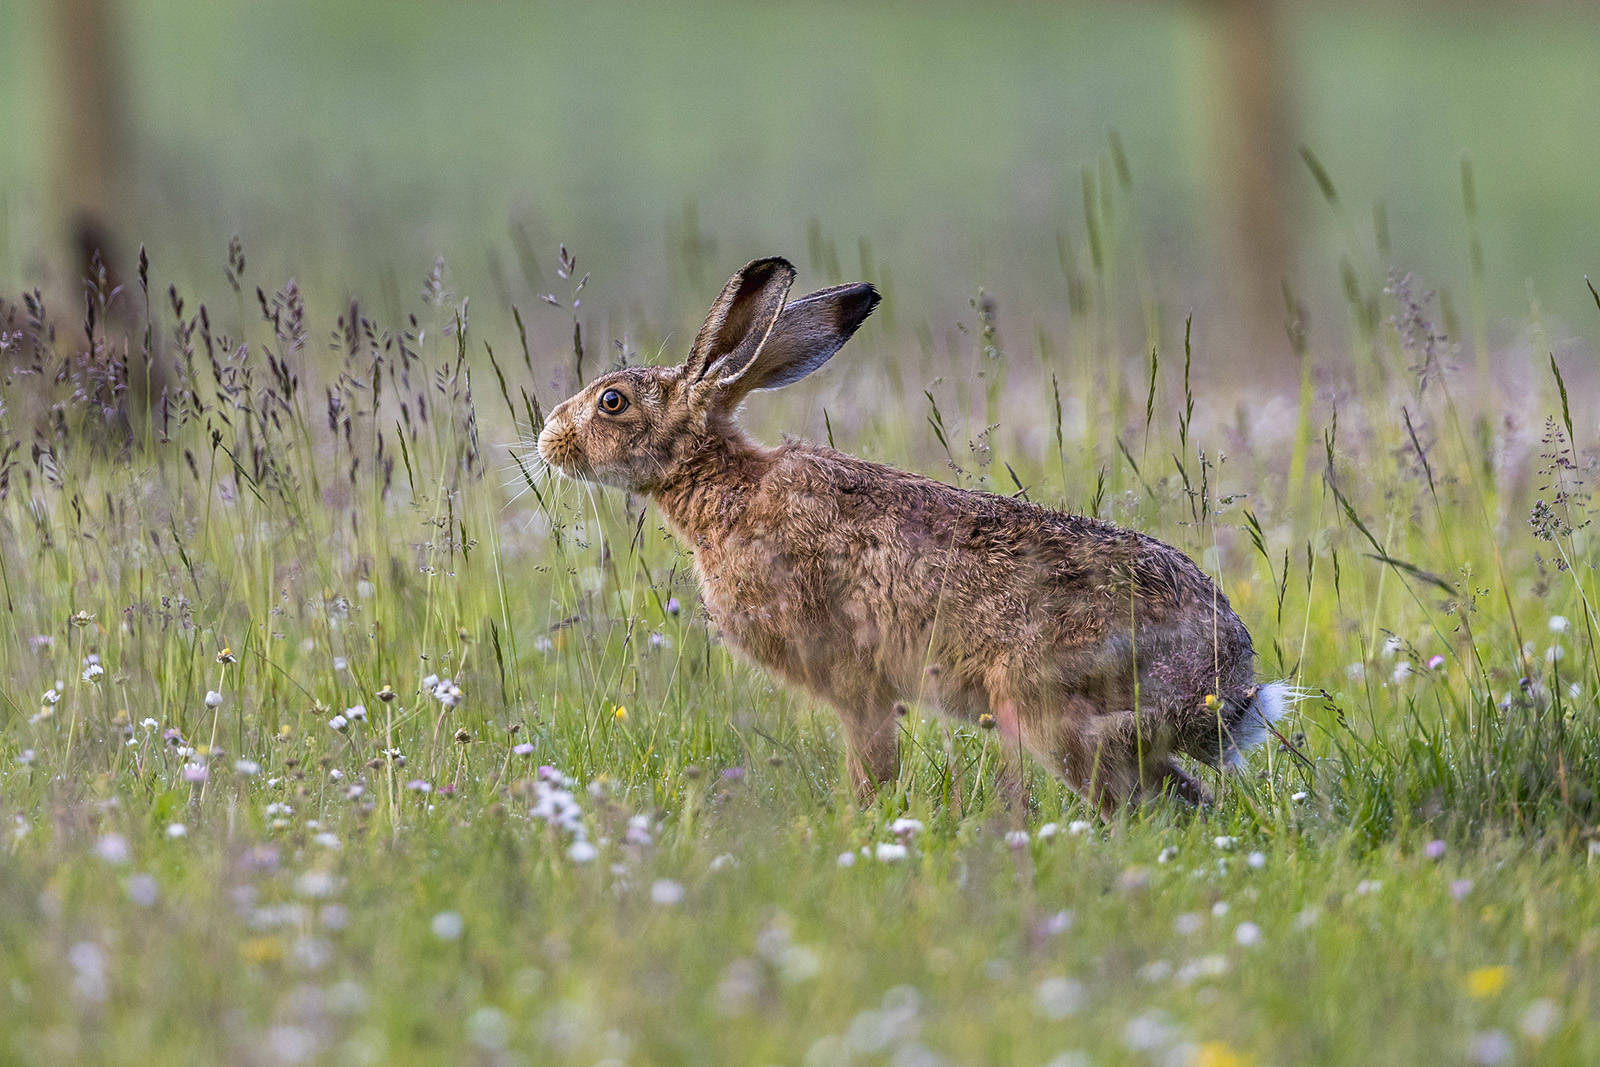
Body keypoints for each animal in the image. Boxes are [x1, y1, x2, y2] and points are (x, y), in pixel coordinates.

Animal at [536, 256, 1289, 813]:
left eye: (612, 402)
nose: (549, 441)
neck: (725, 485)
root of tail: (1223, 679)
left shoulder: (857, 683)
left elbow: (872, 765)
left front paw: (860, 825)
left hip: (1050, 707)